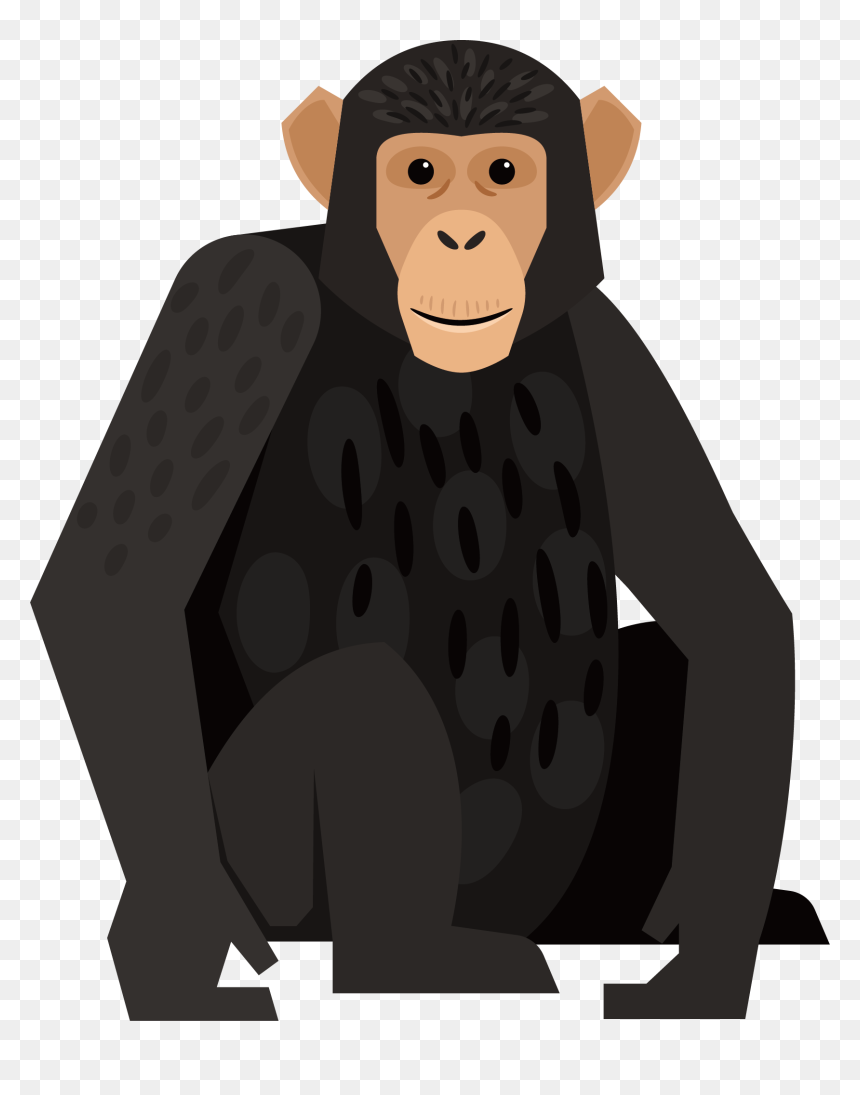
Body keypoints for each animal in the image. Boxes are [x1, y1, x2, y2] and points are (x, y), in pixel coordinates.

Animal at [30, 40, 827, 1020]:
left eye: (503, 173)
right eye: (417, 174)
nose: (460, 236)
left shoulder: (614, 348)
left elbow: (730, 615)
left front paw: (712, 957)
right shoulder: (239, 294)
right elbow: (111, 594)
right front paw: (181, 931)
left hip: (565, 892)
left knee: (676, 664)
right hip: (275, 869)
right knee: (364, 696)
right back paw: (400, 956)